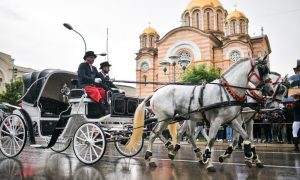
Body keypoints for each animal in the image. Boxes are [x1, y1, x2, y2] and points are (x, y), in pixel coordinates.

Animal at [125, 57, 274, 172]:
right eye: (262, 70)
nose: (270, 91)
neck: (228, 91)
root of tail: (155, 92)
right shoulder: (217, 121)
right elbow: (212, 140)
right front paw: (210, 162)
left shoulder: (233, 120)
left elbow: (246, 137)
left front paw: (249, 155)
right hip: (165, 118)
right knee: (153, 134)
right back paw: (151, 157)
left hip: (181, 118)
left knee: (182, 134)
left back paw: (175, 149)